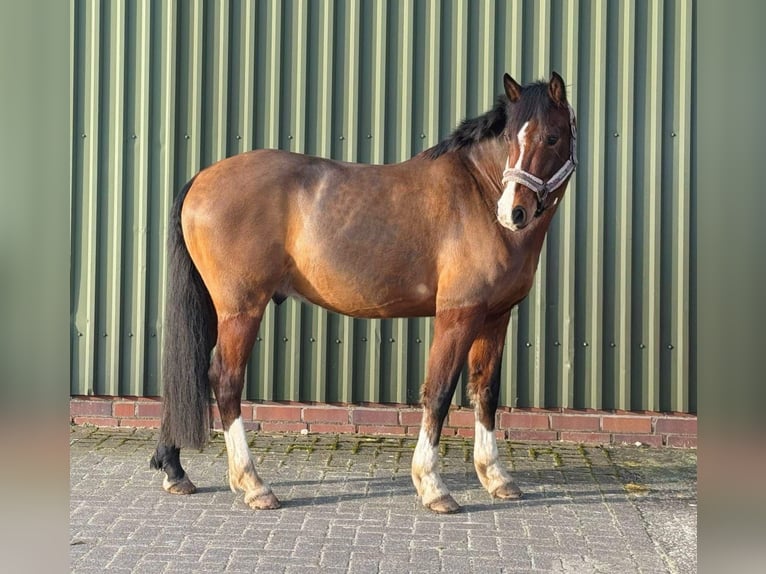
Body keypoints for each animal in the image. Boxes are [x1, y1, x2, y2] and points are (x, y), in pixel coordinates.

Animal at [150, 72, 576, 516]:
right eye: (510, 137)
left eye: (551, 137)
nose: (513, 212)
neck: (477, 192)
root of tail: (202, 178)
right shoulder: (458, 315)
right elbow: (439, 393)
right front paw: (433, 486)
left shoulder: (495, 316)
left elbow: (485, 392)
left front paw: (495, 477)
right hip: (242, 310)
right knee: (226, 379)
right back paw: (253, 484)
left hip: (215, 309)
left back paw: (174, 469)